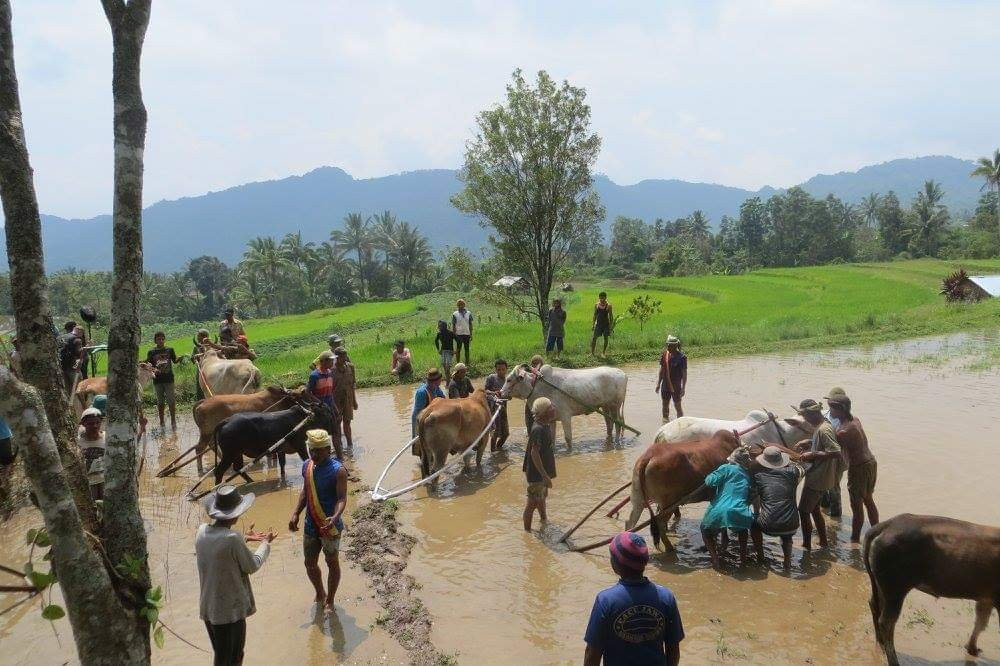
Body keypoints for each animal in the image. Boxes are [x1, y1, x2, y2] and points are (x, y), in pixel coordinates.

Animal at [211, 400, 340, 482]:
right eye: (326, 413)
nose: (334, 428)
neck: (304, 419)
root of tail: (226, 421)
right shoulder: (300, 446)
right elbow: (306, 459)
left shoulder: (281, 450)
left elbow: (282, 465)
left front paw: (283, 479)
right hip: (229, 454)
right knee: (219, 471)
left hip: (237, 453)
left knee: (238, 468)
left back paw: (251, 481)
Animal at [864, 510, 996, 660]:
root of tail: (888, 524)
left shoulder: (986, 597)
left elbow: (981, 623)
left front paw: (972, 649)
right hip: (895, 589)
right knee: (887, 622)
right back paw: (893, 659)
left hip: (881, 584)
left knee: (874, 605)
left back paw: (880, 643)